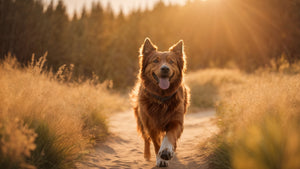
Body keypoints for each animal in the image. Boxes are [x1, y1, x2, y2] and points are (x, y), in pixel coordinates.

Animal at [131, 37, 190, 167]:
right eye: (155, 61)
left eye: (171, 61)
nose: (165, 68)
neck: (162, 99)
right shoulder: (150, 125)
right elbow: (156, 144)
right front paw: (160, 159)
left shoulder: (176, 121)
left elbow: (169, 137)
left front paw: (167, 151)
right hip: (141, 120)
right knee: (146, 139)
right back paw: (147, 155)